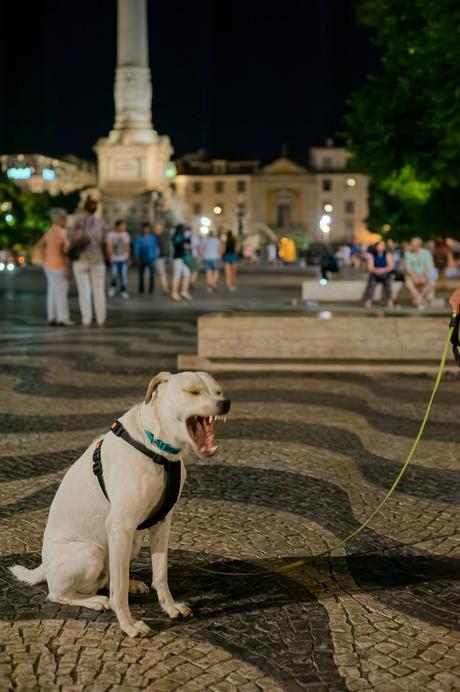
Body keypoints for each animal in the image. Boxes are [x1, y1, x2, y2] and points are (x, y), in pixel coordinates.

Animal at [11, 374, 230, 636]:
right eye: (192, 391)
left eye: (218, 391)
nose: (225, 403)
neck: (156, 446)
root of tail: (44, 566)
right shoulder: (120, 526)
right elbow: (119, 588)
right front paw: (128, 625)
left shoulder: (162, 523)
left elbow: (160, 573)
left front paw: (170, 607)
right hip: (92, 551)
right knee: (58, 594)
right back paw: (96, 601)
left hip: (132, 542)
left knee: (108, 579)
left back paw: (130, 585)